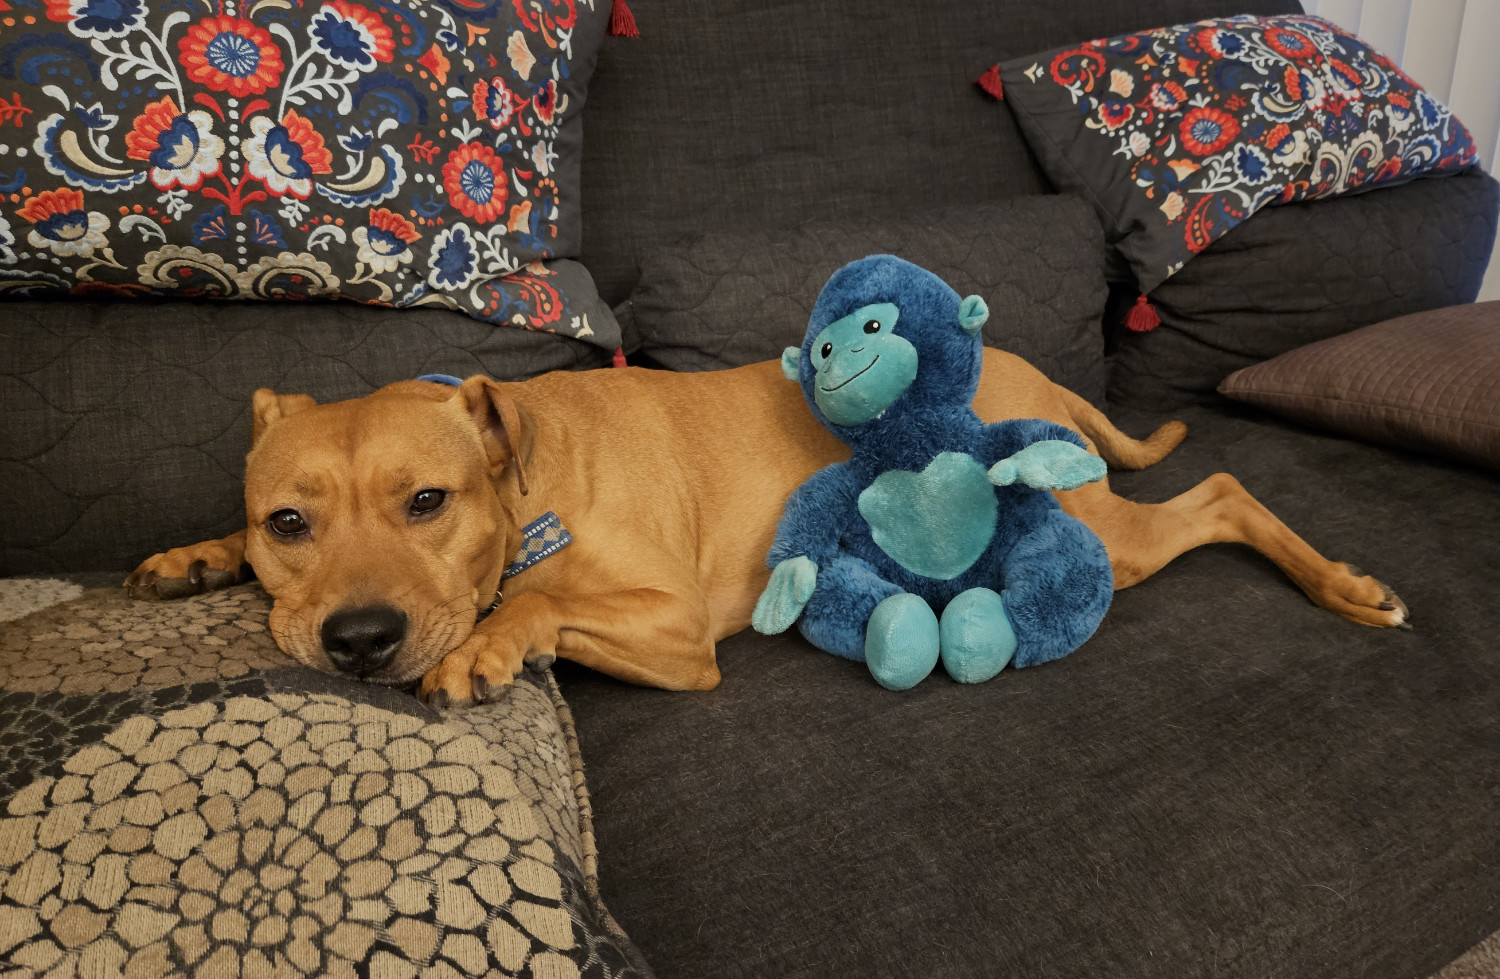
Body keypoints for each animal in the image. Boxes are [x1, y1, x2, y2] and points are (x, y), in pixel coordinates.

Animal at [126, 350, 1404, 701]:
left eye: (427, 503)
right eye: (286, 520)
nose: (358, 641)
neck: (519, 478)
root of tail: (1028, 365)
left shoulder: (675, 629)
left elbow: (538, 605)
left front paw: (492, 641)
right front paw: (197, 555)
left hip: (1106, 535)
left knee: (1224, 493)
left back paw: (1345, 586)